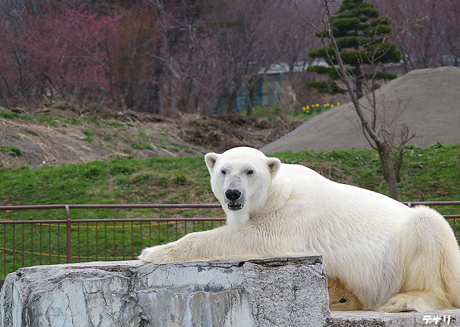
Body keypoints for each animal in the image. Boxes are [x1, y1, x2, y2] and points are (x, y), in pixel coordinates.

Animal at [139, 147, 460, 314]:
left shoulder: (294, 215)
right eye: (223, 170)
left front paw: (153, 251)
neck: (278, 192)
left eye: (249, 171)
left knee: (425, 224)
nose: (232, 193)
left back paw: (405, 299)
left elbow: (254, 237)